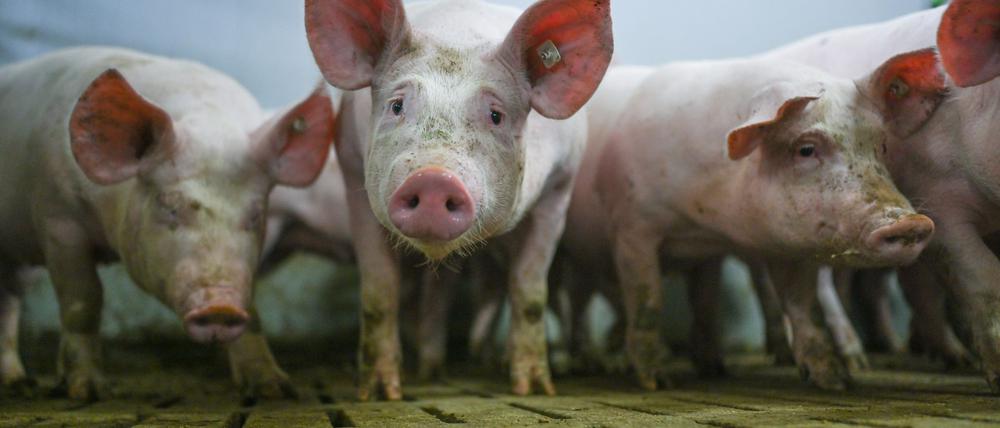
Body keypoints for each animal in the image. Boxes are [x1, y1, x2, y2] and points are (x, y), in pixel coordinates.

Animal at [0, 46, 334, 400]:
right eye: (169, 206)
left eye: (256, 214)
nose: (221, 307)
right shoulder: (58, 216)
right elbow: (83, 301)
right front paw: (87, 392)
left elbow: (253, 310)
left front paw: (274, 388)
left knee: (9, 299)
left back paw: (18, 382)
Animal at [305, 0, 613, 398]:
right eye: (397, 106)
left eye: (496, 115)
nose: (434, 179)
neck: (457, 36)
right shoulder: (352, 169)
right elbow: (379, 291)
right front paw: (379, 394)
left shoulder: (559, 188)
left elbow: (529, 291)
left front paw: (533, 388)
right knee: (439, 292)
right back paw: (430, 372)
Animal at [561, 49, 943, 391]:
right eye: (806, 148)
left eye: (881, 146)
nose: (909, 223)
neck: (708, 219)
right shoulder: (632, 227)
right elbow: (647, 300)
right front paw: (658, 382)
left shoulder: (743, 247)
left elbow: (792, 305)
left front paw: (835, 381)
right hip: (577, 258)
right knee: (579, 304)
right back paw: (592, 363)